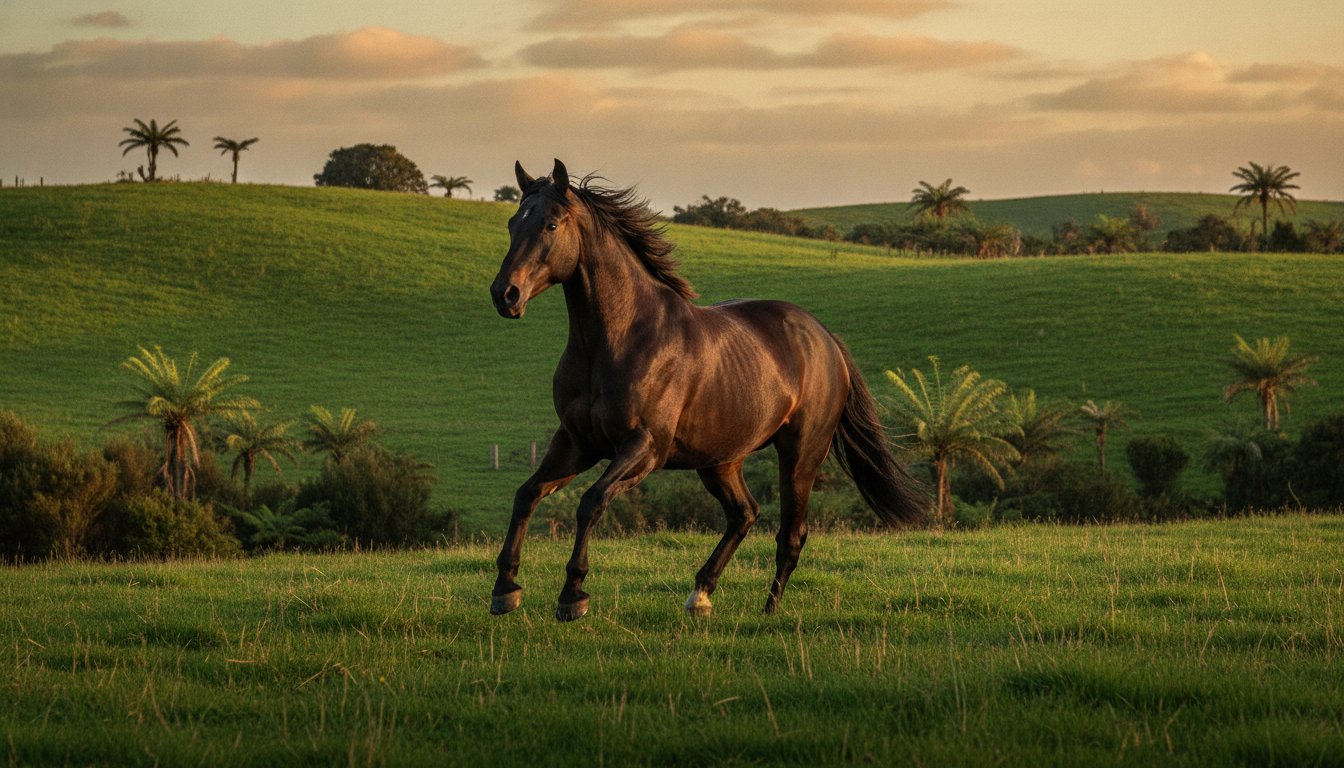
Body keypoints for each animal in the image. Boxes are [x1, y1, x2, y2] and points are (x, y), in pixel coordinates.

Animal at [488, 159, 926, 621]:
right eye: (513, 223)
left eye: (551, 224)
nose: (505, 294)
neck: (619, 339)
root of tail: (826, 339)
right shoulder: (576, 441)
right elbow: (527, 494)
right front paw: (505, 589)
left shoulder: (644, 447)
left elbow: (591, 502)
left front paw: (573, 595)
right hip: (720, 460)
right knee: (744, 514)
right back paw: (700, 594)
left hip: (801, 455)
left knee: (790, 535)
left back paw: (768, 610)